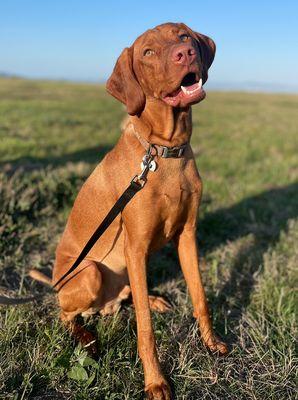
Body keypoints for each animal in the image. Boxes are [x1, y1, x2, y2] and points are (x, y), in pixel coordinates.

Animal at [30, 22, 227, 400]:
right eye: (147, 52)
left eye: (183, 36)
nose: (185, 54)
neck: (164, 152)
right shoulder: (135, 247)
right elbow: (146, 329)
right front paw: (156, 381)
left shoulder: (187, 236)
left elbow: (200, 298)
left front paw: (212, 343)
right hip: (90, 272)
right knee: (67, 314)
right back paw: (87, 338)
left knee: (127, 299)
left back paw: (151, 299)